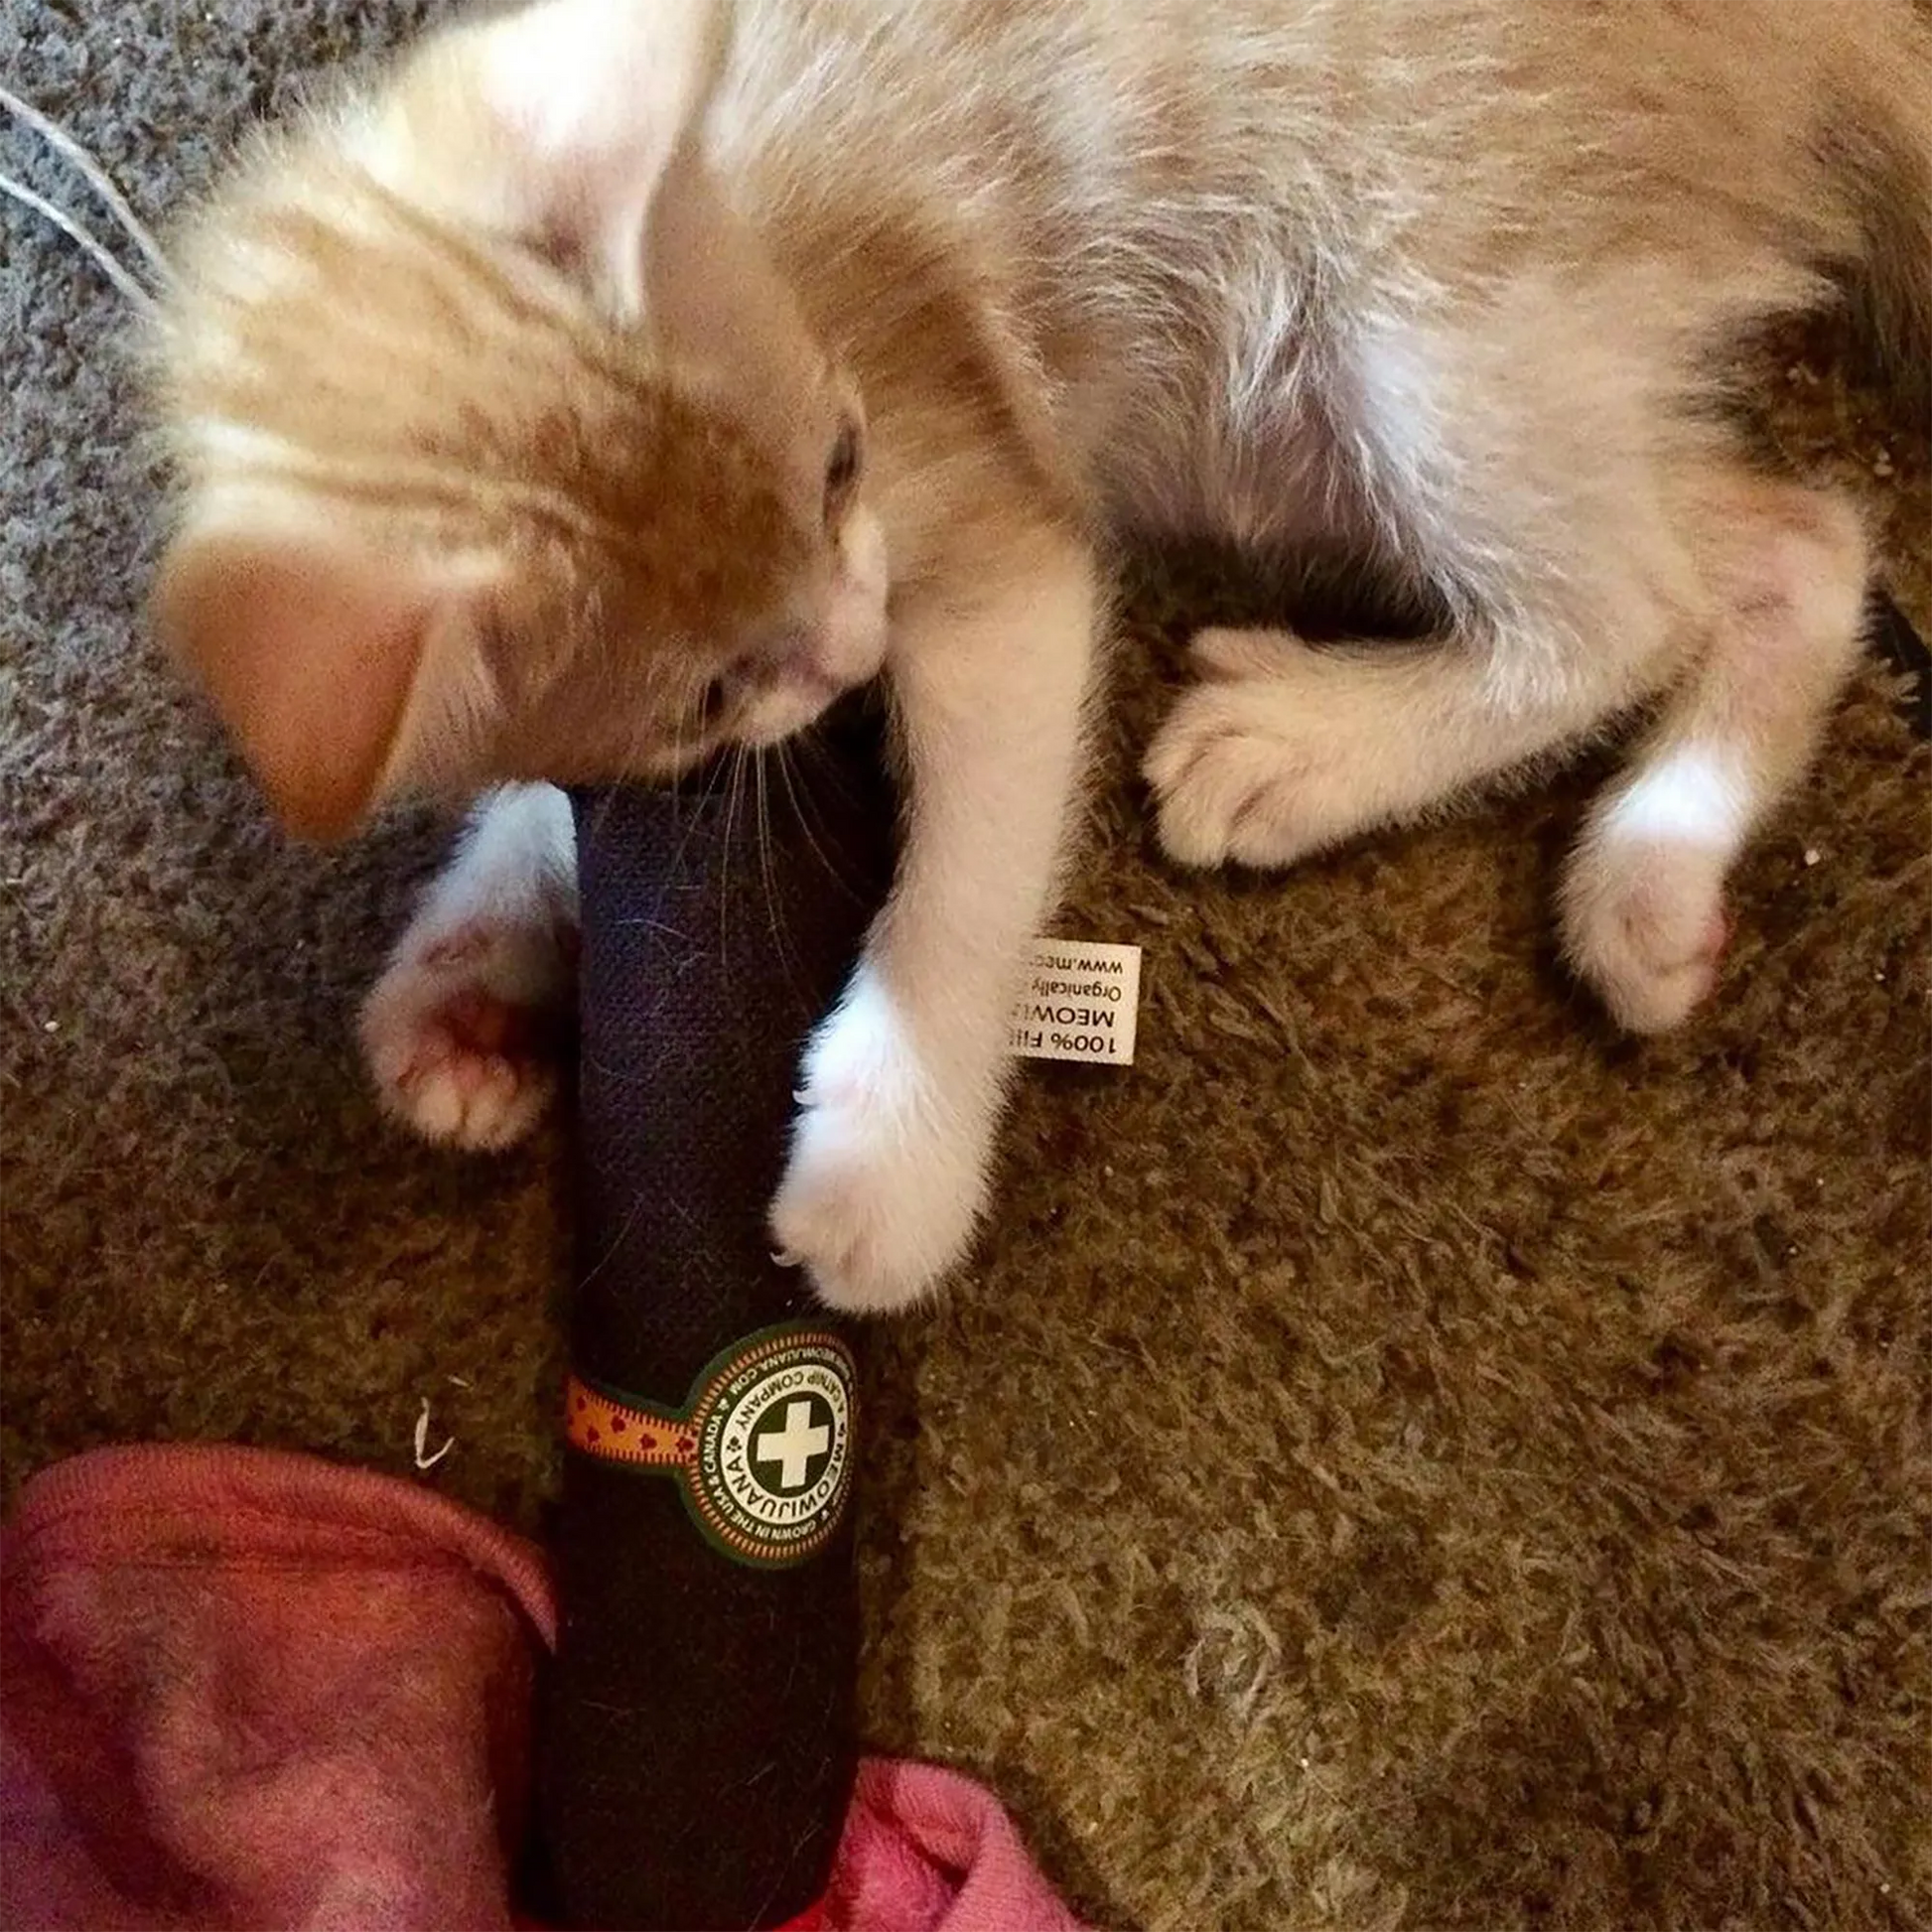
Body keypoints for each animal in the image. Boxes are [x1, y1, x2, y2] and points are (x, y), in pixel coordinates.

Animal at [146, 0, 1932, 1313]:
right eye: (704, 689)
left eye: (845, 460)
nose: (852, 644)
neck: (776, 230)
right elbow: (554, 795)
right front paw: (465, 983)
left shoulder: (988, 528)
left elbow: (970, 864)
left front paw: (892, 1165)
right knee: (1795, 543)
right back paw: (1651, 875)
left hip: (1428, 302)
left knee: (1629, 599)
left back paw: (1309, 746)